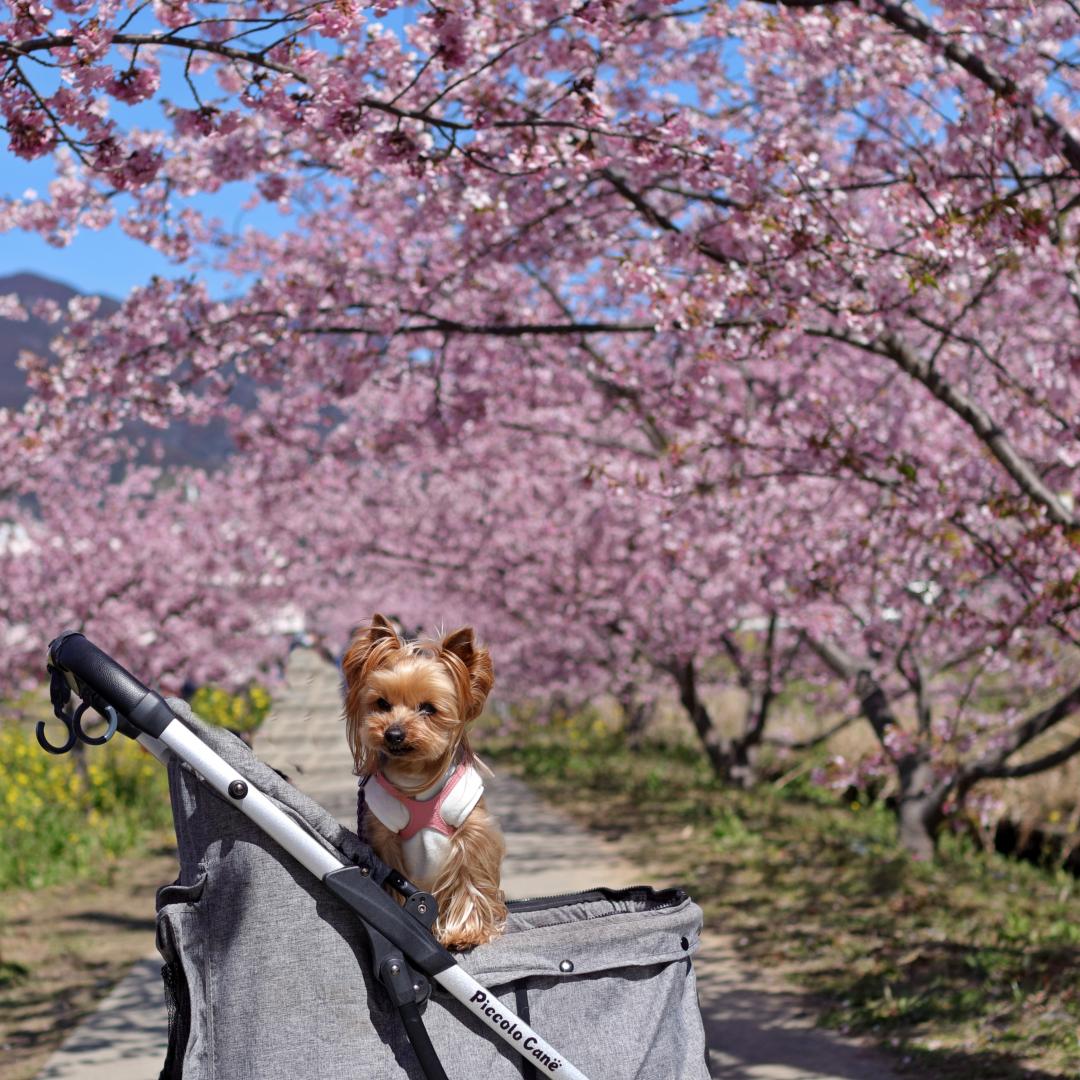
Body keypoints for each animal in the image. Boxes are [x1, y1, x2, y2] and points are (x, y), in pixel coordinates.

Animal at [343, 613, 507, 950]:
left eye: (429, 708)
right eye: (382, 703)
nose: (393, 734)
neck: (416, 774)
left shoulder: (471, 833)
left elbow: (469, 878)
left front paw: (464, 933)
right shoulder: (383, 839)